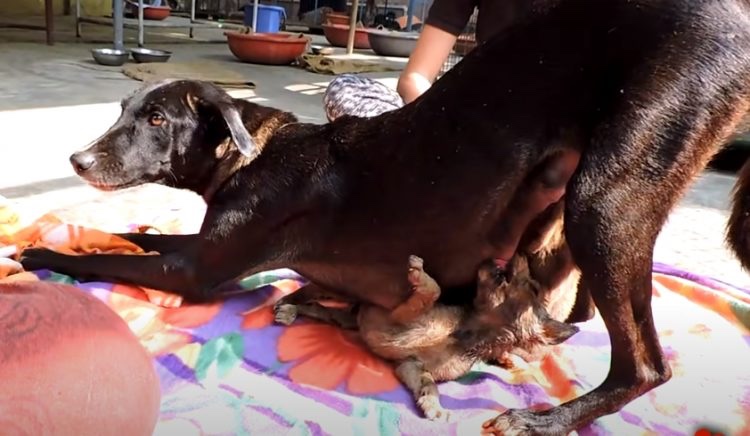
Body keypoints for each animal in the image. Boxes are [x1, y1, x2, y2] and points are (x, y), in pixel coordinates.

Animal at [20, 1, 750, 434]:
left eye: (157, 120)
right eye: (123, 110)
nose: (76, 159)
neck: (249, 155)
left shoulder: (197, 271)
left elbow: (110, 259)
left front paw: (39, 257)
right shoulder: (197, 247)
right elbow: (133, 236)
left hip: (601, 200)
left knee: (646, 366)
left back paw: (546, 420)